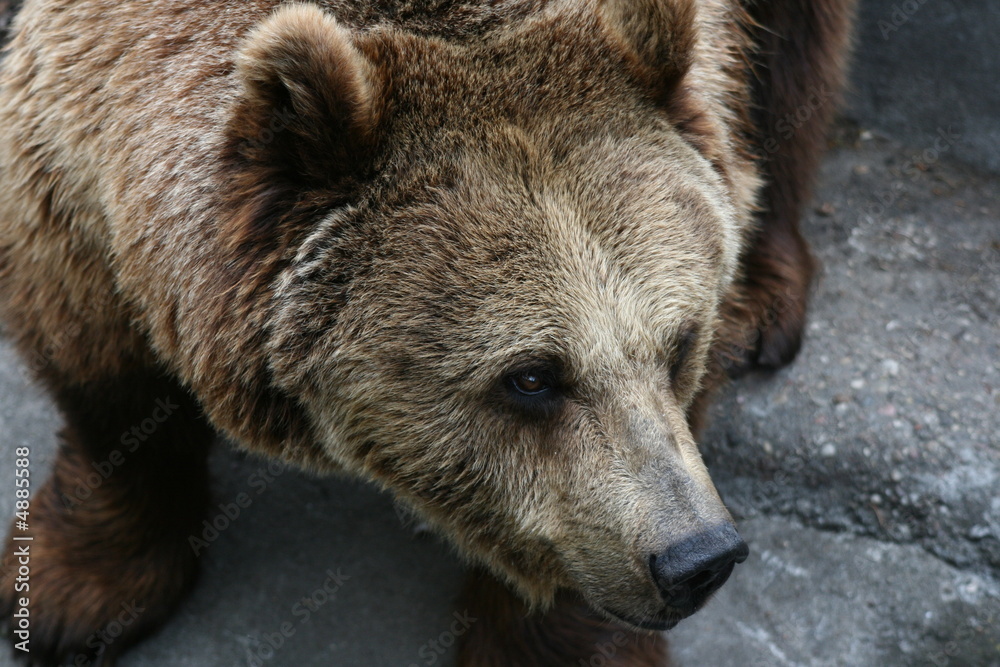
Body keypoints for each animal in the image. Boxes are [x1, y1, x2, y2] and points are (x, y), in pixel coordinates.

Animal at [0, 0, 856, 665]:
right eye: (532, 375)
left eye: (679, 342)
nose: (695, 557)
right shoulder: (83, 121)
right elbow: (96, 359)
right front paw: (73, 592)